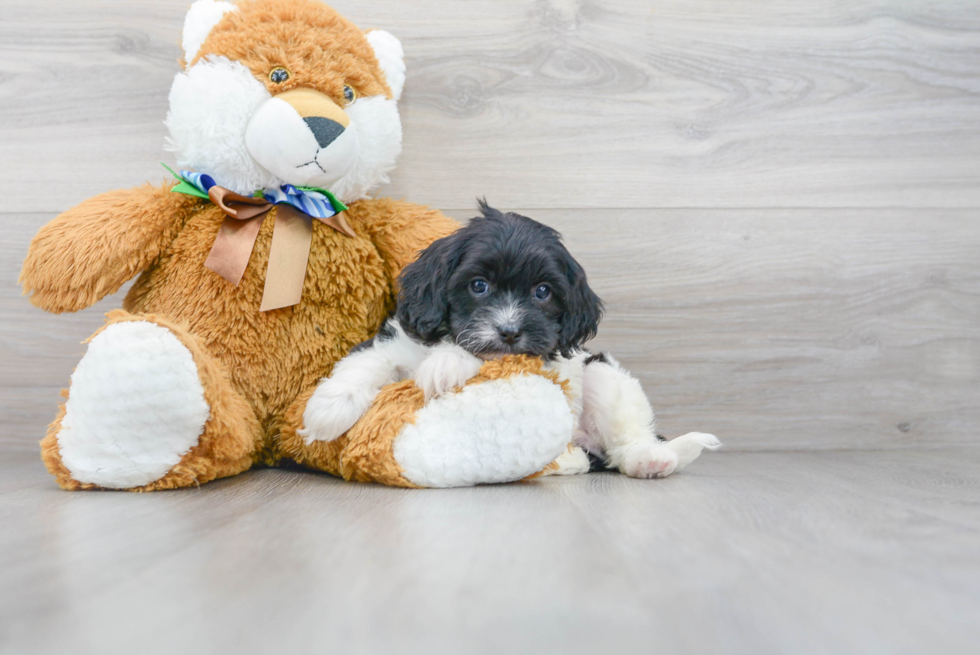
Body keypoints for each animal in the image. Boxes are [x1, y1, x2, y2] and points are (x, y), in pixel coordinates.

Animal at [300, 202, 720, 480]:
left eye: (542, 292)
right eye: (478, 286)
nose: (509, 331)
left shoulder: (536, 354)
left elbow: (485, 356)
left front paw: (447, 363)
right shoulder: (398, 338)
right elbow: (366, 360)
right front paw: (326, 409)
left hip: (602, 374)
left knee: (626, 435)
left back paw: (649, 459)